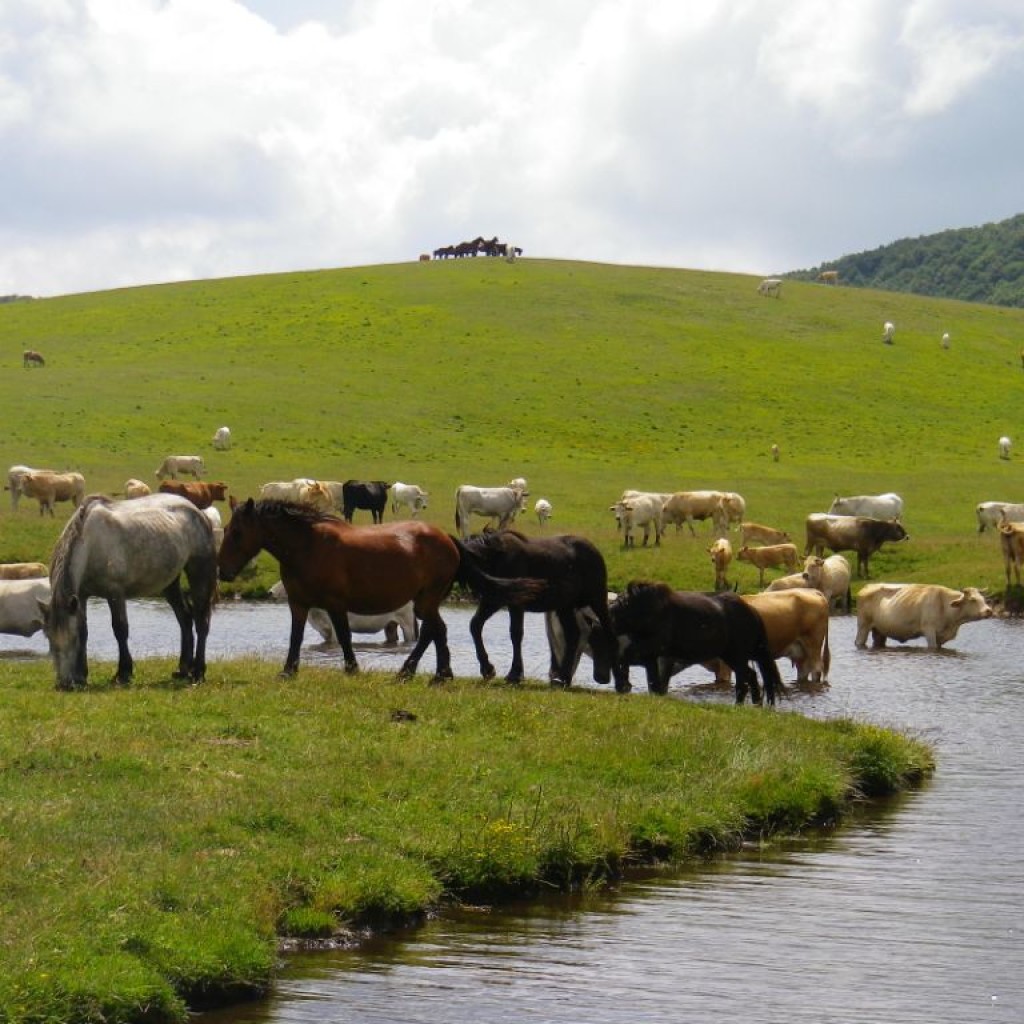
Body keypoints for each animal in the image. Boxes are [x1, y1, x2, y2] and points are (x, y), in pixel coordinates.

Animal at [45, 493, 217, 692]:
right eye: (50, 642)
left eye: (72, 640)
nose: (64, 684)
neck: (91, 542)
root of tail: (199, 512)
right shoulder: (81, 596)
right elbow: (84, 631)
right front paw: (82, 675)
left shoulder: (115, 593)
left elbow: (120, 629)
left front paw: (123, 673)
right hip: (170, 583)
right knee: (185, 618)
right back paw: (183, 669)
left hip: (200, 573)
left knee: (201, 622)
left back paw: (198, 672)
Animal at [454, 532, 626, 692]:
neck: (495, 557)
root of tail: (595, 551)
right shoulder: (494, 600)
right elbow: (475, 625)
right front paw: (487, 668)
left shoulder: (516, 603)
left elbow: (516, 634)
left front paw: (515, 674)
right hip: (565, 606)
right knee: (573, 635)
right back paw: (563, 678)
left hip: (597, 600)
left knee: (610, 636)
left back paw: (621, 683)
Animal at [606, 585, 782, 704]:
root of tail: (752, 612)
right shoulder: (650, 656)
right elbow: (652, 680)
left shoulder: (656, 653)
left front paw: (623, 685)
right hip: (735, 656)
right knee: (750, 677)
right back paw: (755, 704)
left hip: (736, 656)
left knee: (744, 681)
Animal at [856, 585, 991, 647]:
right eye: (973, 600)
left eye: (983, 599)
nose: (989, 610)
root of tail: (867, 587)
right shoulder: (929, 630)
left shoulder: (940, 636)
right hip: (863, 626)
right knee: (859, 642)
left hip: (879, 631)